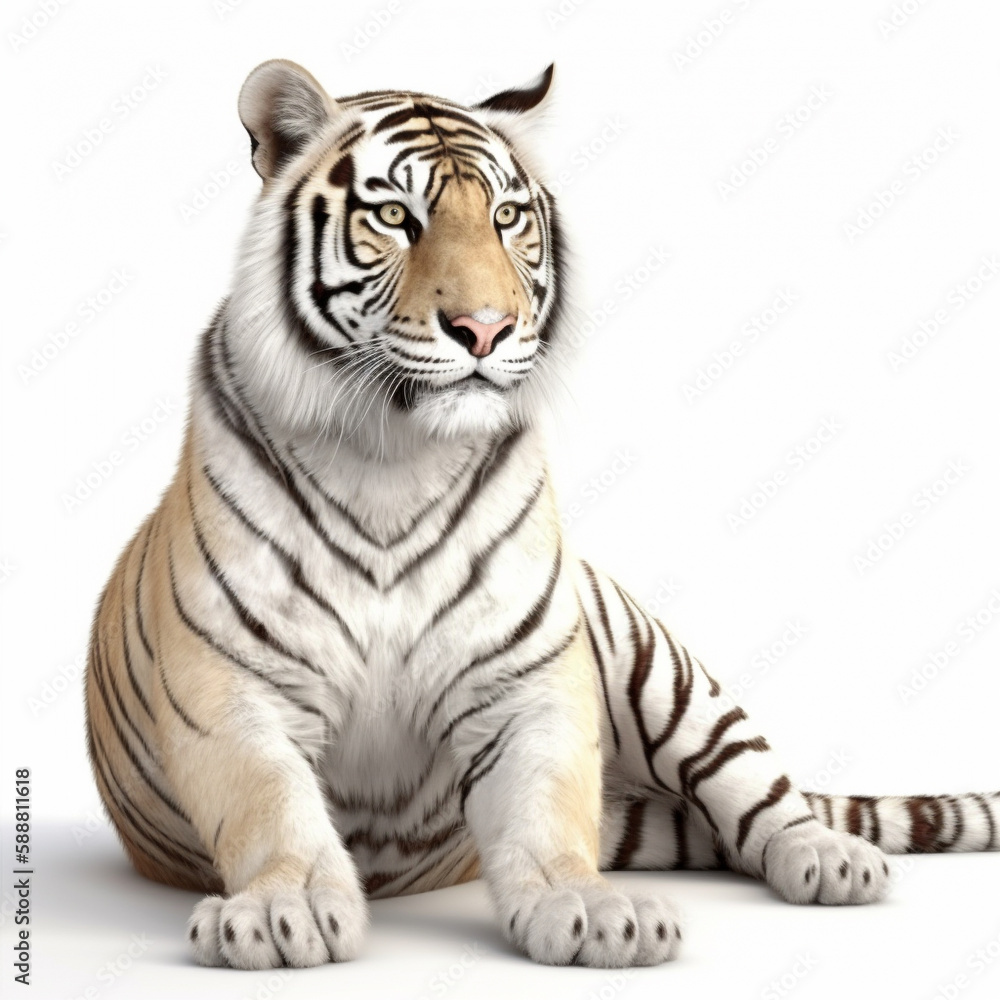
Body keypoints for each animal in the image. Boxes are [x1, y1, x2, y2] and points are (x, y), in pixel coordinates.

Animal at [84, 59, 999, 971]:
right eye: (396, 217)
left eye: (505, 217)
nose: (485, 329)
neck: (393, 455)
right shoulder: (231, 686)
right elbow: (271, 802)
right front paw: (289, 908)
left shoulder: (526, 679)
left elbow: (545, 804)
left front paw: (587, 905)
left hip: (657, 668)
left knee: (753, 782)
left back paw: (830, 856)